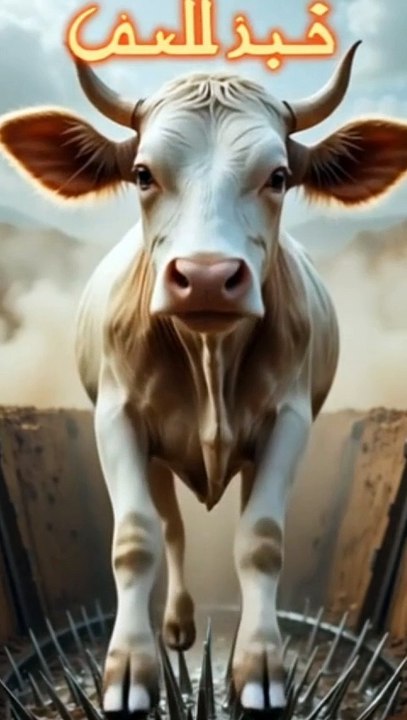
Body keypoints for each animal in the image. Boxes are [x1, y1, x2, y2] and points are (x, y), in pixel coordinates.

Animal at [1, 42, 407, 716]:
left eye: (279, 176)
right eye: (142, 174)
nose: (209, 277)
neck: (209, 354)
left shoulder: (290, 422)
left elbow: (262, 540)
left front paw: (259, 665)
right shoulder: (116, 420)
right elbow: (136, 538)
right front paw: (129, 669)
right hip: (158, 460)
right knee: (171, 527)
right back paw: (179, 628)